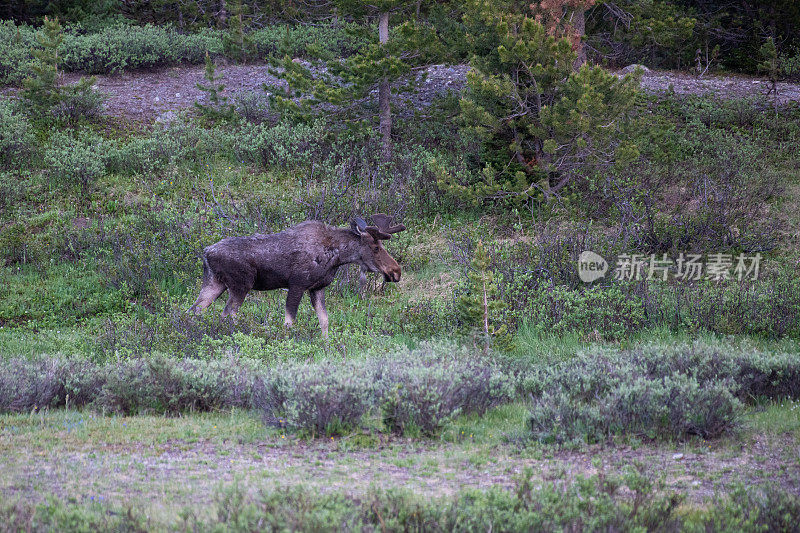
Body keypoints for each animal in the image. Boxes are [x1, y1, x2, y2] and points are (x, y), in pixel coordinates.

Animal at [189, 213, 406, 334]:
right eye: (376, 247)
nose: (396, 271)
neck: (336, 257)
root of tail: (206, 253)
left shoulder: (317, 288)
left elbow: (324, 321)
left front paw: (326, 346)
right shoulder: (297, 284)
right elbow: (289, 322)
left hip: (214, 283)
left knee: (195, 310)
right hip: (241, 285)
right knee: (228, 314)